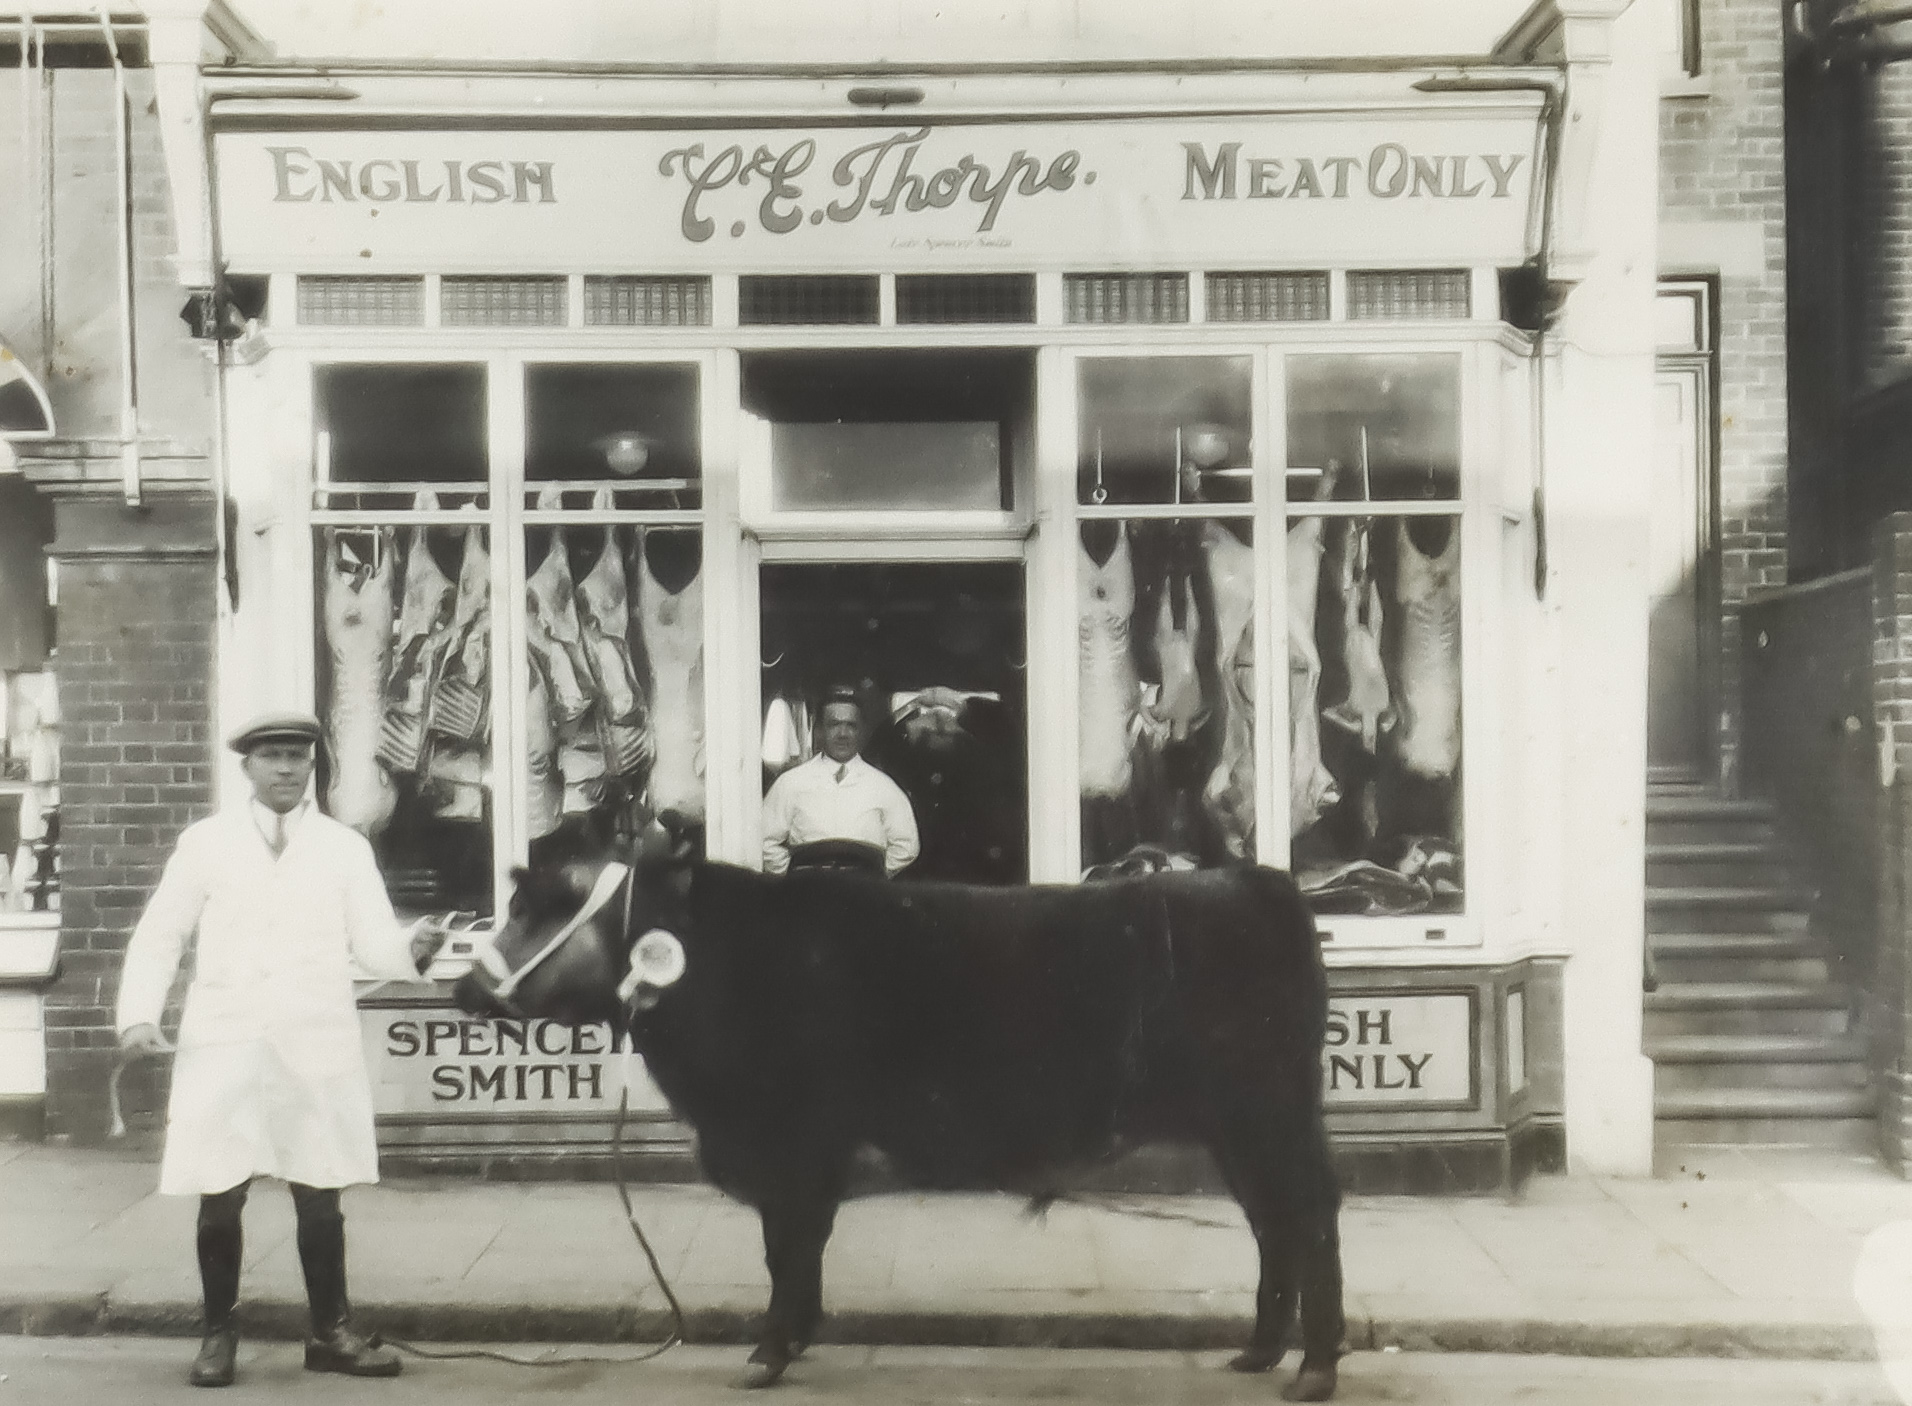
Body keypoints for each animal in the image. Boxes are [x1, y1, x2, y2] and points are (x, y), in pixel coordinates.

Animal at [451, 853, 1346, 1400]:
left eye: (535, 907)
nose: (461, 987)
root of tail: (1255, 880)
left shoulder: (791, 1145)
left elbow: (785, 1251)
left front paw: (767, 1355)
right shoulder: (800, 1160)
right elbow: (797, 1251)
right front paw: (797, 1340)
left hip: (1269, 1115)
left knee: (1309, 1221)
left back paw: (1315, 1370)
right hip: (1240, 1129)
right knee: (1274, 1226)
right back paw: (1260, 1352)